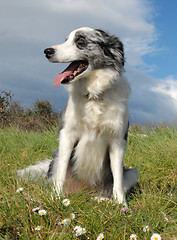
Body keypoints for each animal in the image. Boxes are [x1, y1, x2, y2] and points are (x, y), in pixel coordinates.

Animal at [17, 26, 138, 206]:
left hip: (133, 173)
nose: (47, 51)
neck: (93, 95)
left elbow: (117, 179)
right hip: (55, 160)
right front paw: (55, 199)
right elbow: (60, 176)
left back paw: (102, 199)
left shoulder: (117, 141)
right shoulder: (67, 134)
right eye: (66, 39)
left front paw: (122, 206)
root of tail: (83, 192)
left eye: (80, 41)